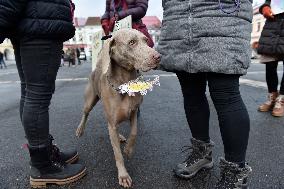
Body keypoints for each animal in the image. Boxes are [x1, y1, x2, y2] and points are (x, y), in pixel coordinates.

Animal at [76, 28, 160, 188]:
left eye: (146, 40)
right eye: (132, 42)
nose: (158, 57)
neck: (125, 83)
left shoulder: (134, 112)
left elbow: (134, 132)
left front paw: (128, 149)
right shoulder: (113, 121)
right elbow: (117, 154)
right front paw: (123, 176)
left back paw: (121, 137)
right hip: (90, 100)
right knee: (85, 113)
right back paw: (79, 129)